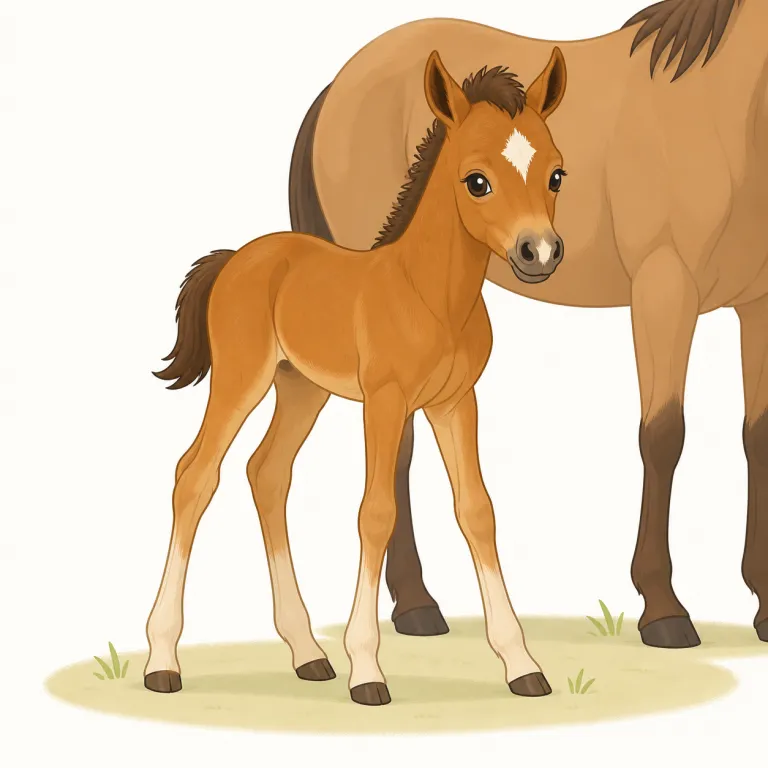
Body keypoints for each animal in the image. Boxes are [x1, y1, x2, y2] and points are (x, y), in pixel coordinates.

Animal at [145, 48, 569, 705]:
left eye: (555, 175)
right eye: (477, 180)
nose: (540, 253)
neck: (431, 296)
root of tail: (238, 257)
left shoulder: (455, 402)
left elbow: (477, 510)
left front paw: (522, 665)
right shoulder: (385, 401)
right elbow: (376, 511)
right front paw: (367, 669)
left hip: (302, 387)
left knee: (267, 472)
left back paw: (307, 654)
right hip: (243, 377)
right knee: (195, 474)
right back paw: (163, 661)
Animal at [288, 0, 768, 649]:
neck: (724, 105)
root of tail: (339, 85)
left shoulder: (758, 304)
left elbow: (756, 436)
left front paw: (764, 604)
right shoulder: (665, 289)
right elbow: (663, 436)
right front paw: (664, 609)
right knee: (397, 449)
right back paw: (416, 605)